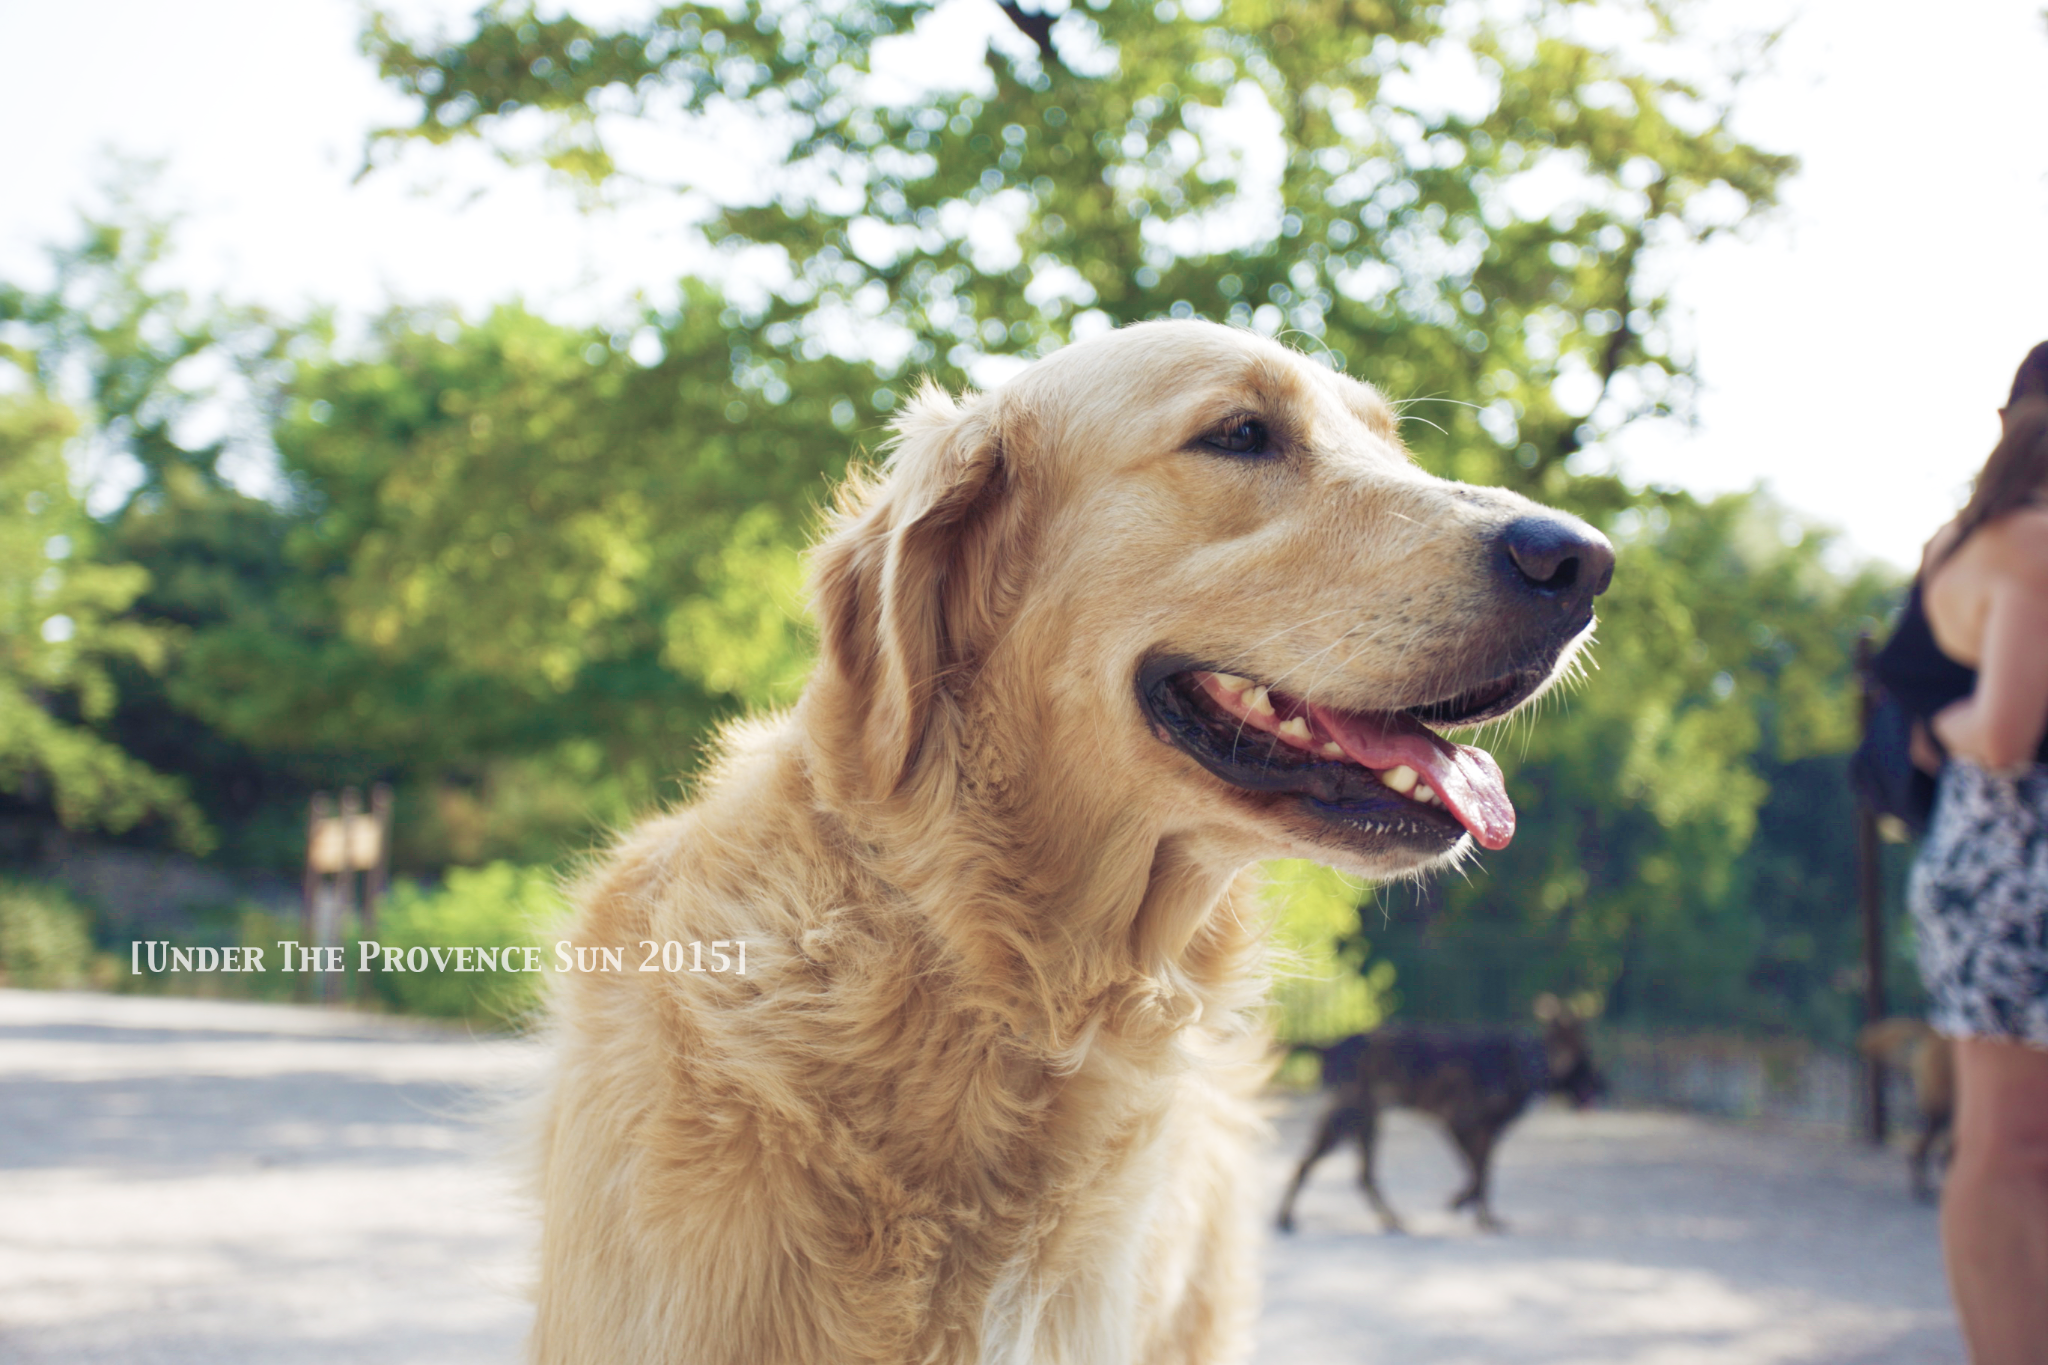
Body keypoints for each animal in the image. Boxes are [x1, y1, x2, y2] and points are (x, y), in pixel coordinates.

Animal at [1269, 994, 1605, 1236]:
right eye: (1587, 1055)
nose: (1607, 1087)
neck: (1531, 1060)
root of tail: (1332, 1045)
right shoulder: (1458, 1124)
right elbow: (1476, 1176)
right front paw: (1461, 1205)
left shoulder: (1487, 1136)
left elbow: (1483, 1177)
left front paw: (1484, 1219)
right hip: (1350, 1120)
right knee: (1308, 1165)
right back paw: (1285, 1219)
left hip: (1364, 1123)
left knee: (1361, 1176)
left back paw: (1391, 1221)